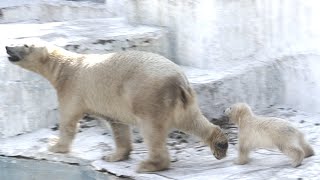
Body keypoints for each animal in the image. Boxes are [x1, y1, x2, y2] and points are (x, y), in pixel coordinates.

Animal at [6, 43, 229, 172]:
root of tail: (179, 79)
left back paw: (148, 165)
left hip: (149, 96)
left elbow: (69, 119)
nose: (7, 47)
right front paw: (113, 155)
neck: (64, 66)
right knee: (192, 120)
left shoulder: (72, 88)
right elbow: (118, 126)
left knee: (152, 129)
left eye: (25, 43)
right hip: (183, 100)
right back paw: (220, 145)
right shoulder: (112, 103)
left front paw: (55, 146)